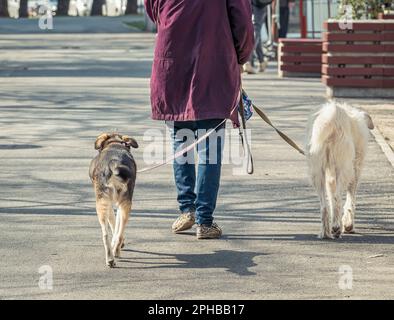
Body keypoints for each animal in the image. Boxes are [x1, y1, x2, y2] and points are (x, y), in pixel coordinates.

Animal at [88, 132, 138, 268]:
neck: (114, 143)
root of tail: (114, 163)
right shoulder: (119, 204)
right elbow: (117, 225)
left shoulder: (109, 204)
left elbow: (113, 222)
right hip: (126, 203)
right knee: (120, 231)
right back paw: (115, 251)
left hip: (101, 203)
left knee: (105, 234)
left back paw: (111, 258)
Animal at [306, 101, 374, 239]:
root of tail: (332, 119)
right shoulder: (355, 170)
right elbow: (350, 199)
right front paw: (348, 225)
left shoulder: (330, 177)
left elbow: (331, 198)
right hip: (345, 168)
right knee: (338, 198)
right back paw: (337, 229)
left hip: (317, 172)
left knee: (324, 205)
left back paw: (326, 232)